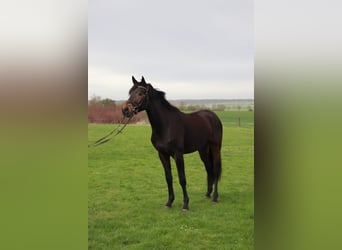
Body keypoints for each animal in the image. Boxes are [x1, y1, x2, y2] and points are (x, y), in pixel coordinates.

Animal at [121, 76, 223, 211]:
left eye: (140, 93)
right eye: (130, 93)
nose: (125, 110)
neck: (166, 125)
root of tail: (213, 116)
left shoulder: (178, 154)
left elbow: (182, 179)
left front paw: (185, 204)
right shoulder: (162, 154)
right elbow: (168, 178)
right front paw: (169, 202)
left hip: (215, 148)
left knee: (215, 169)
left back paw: (215, 197)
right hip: (203, 150)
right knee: (209, 169)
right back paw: (207, 194)